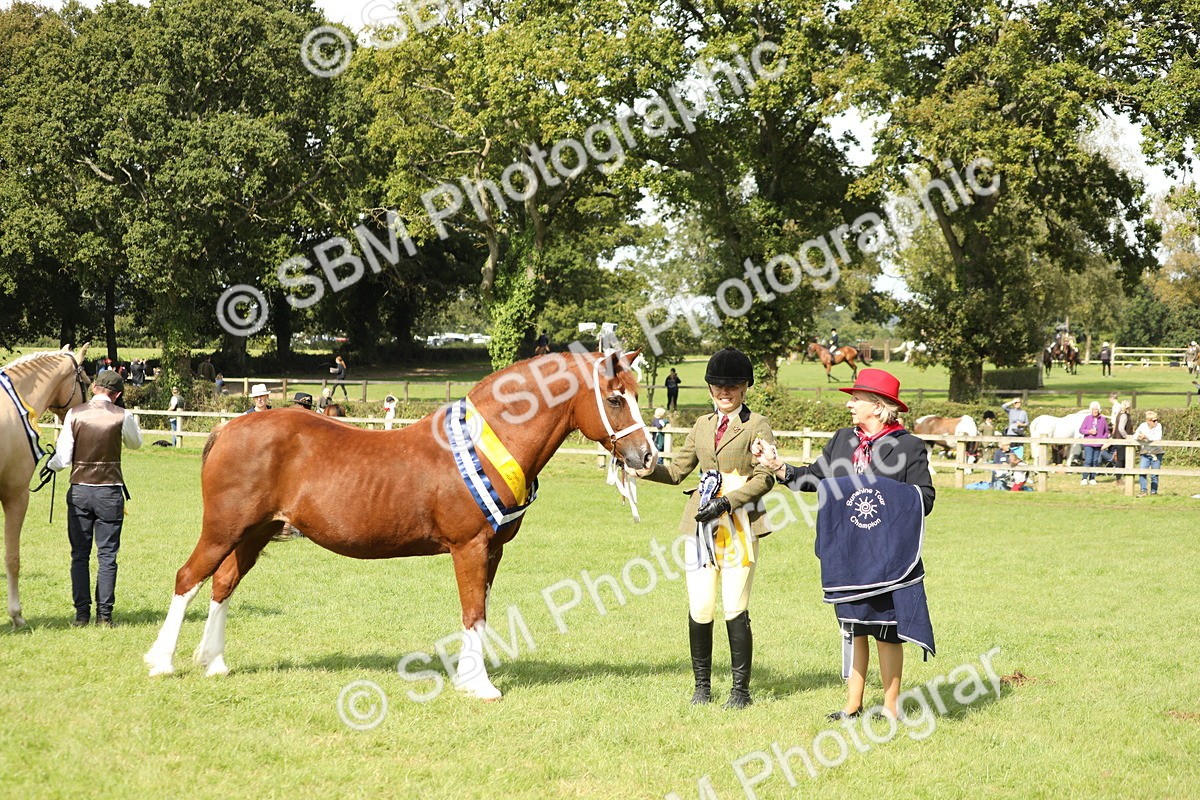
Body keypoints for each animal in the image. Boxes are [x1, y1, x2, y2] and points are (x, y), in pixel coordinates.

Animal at [144, 349, 656, 699]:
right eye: (614, 398)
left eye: (636, 394)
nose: (647, 456)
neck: (485, 443)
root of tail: (227, 427)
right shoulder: (469, 546)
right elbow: (473, 612)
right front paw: (480, 687)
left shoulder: (493, 550)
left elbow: (481, 614)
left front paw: (472, 676)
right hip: (223, 530)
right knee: (188, 579)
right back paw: (161, 662)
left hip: (254, 534)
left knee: (223, 584)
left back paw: (215, 663)